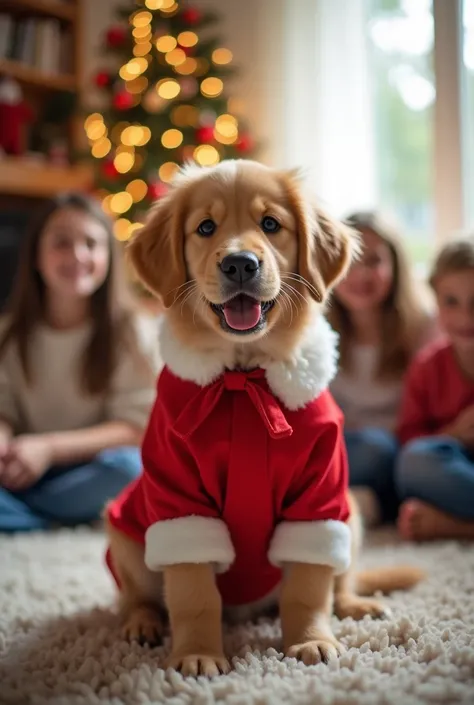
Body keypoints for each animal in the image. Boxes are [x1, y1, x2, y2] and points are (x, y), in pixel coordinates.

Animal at [104, 160, 422, 676]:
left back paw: (355, 605)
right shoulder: (176, 494)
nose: (239, 264)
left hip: (349, 514)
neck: (243, 377)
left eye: (271, 224)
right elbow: (192, 592)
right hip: (125, 533)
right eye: (205, 228)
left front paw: (311, 640)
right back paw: (142, 624)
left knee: (340, 579)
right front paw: (197, 653)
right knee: (138, 596)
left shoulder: (320, 492)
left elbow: (309, 587)